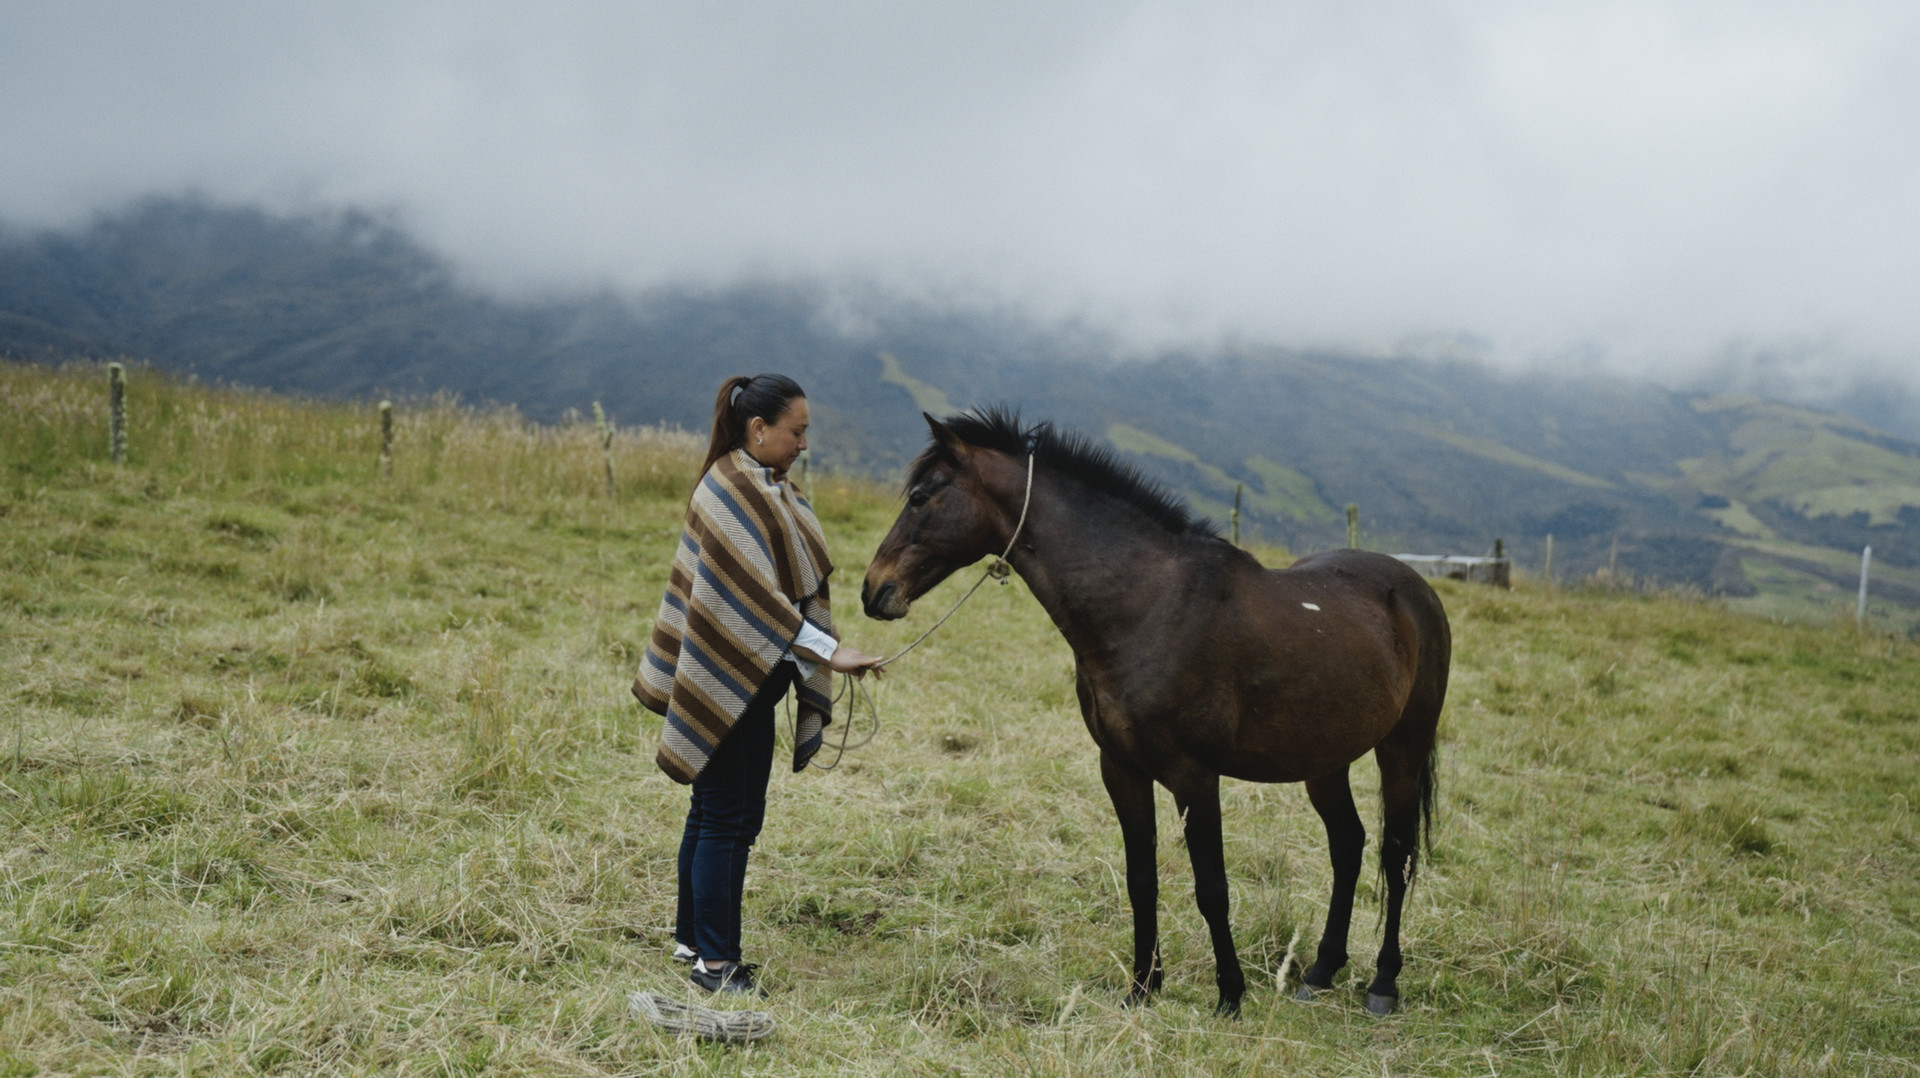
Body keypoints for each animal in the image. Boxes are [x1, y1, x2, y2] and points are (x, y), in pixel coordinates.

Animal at [860, 410, 1450, 1018]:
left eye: (922, 497)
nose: (874, 589)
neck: (1147, 606)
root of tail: (1415, 589)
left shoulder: (1195, 777)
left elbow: (1212, 888)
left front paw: (1229, 995)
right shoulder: (1121, 769)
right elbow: (1141, 879)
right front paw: (1143, 987)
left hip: (1402, 751)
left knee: (1397, 856)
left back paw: (1383, 984)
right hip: (1324, 760)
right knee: (1348, 846)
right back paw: (1321, 971)